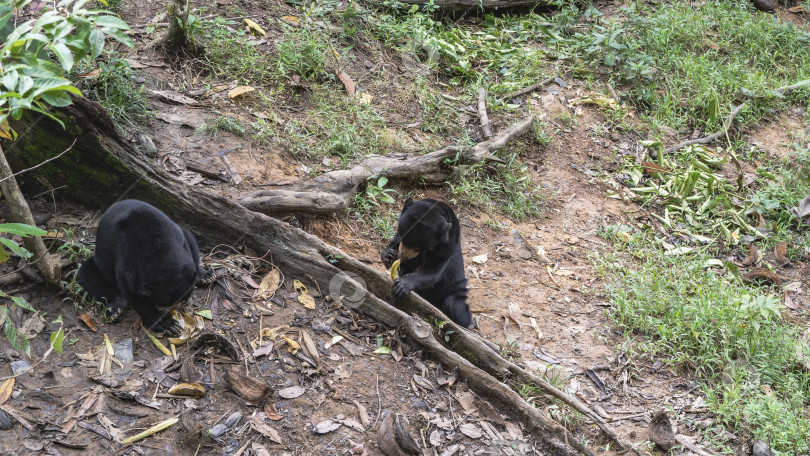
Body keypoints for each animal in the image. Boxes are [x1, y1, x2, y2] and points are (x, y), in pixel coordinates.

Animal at [76, 200, 213, 334]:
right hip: (101, 263)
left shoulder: (178, 238)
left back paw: (207, 276)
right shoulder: (126, 264)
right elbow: (133, 294)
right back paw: (116, 310)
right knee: (86, 275)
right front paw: (167, 324)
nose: (185, 302)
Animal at [380, 198, 470, 326]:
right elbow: (394, 244)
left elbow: (431, 272)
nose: (402, 256)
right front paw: (389, 256)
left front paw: (402, 286)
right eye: (403, 236)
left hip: (453, 289)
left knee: (455, 307)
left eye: (418, 247)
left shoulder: (446, 248)